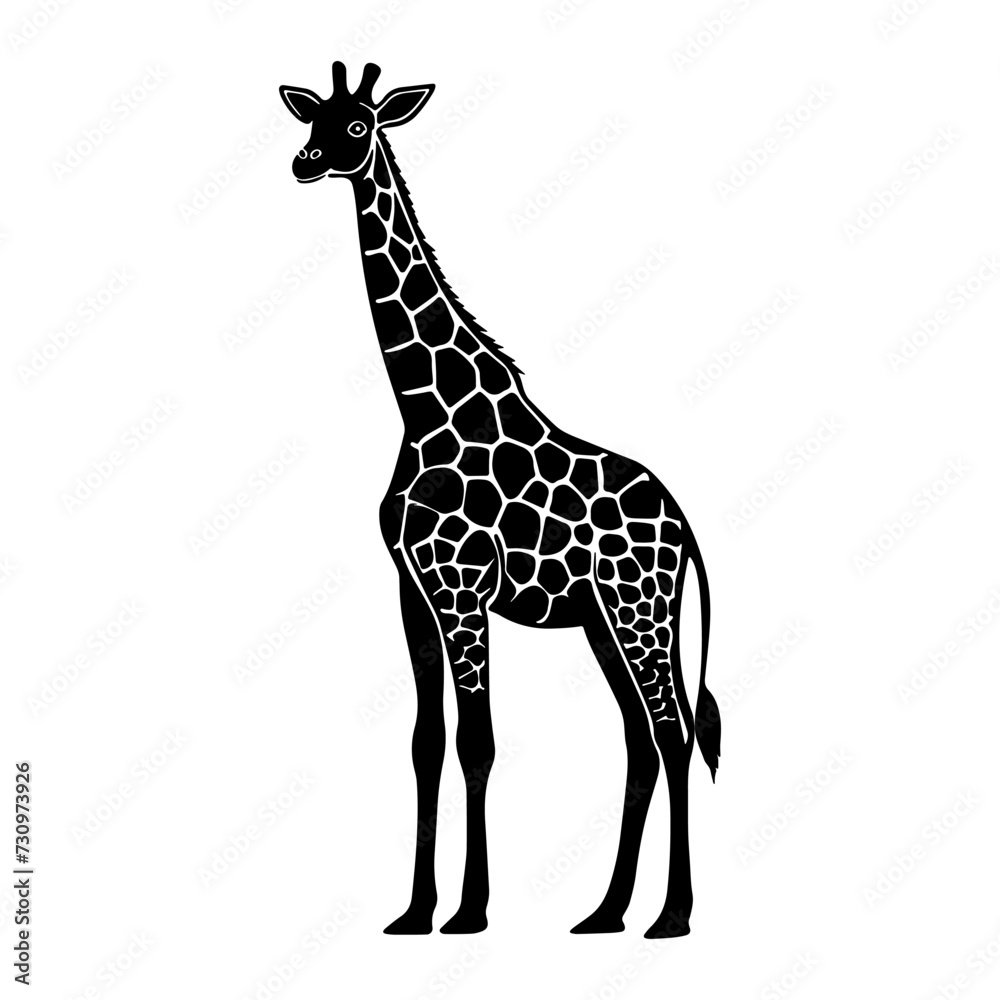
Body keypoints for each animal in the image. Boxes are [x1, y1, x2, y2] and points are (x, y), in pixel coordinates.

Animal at [280, 61, 720, 939]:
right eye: (315, 119)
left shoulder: (462, 588)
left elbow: (477, 741)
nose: (305, 163)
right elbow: (427, 741)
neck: (424, 407)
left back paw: (671, 916)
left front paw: (471, 910)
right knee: (640, 737)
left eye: (359, 126)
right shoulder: (413, 588)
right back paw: (606, 912)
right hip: (602, 618)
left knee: (674, 731)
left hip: (641, 608)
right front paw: (416, 910)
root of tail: (685, 528)